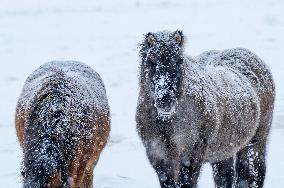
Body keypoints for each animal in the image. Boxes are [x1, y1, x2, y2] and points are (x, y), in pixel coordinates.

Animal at [136, 30, 274, 187]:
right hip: (224, 150)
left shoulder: (190, 156)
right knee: (225, 177)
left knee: (253, 173)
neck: (167, 123)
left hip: (256, 141)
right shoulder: (159, 157)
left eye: (178, 60)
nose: (165, 100)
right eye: (151, 59)